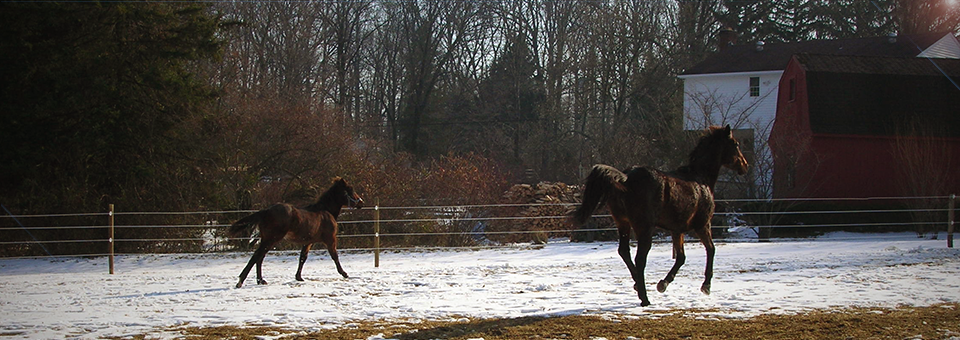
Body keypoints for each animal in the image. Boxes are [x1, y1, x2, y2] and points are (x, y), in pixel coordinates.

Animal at [229, 177, 364, 288]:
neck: (325, 211)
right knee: (256, 256)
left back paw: (260, 280)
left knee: (260, 257)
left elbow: (303, 257)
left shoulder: (308, 242)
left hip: (267, 239)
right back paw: (241, 281)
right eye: (350, 190)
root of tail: (266, 211)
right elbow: (335, 256)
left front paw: (299, 277)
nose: (361, 202)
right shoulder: (330, 239)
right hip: (271, 239)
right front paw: (344, 273)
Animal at [568, 125, 752, 306]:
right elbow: (711, 249)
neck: (700, 180)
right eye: (735, 144)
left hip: (623, 223)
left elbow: (681, 257)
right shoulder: (702, 225)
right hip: (645, 227)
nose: (745, 166)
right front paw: (706, 286)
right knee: (640, 258)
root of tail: (626, 178)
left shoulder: (677, 230)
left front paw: (662, 284)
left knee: (624, 251)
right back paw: (644, 298)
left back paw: (637, 284)